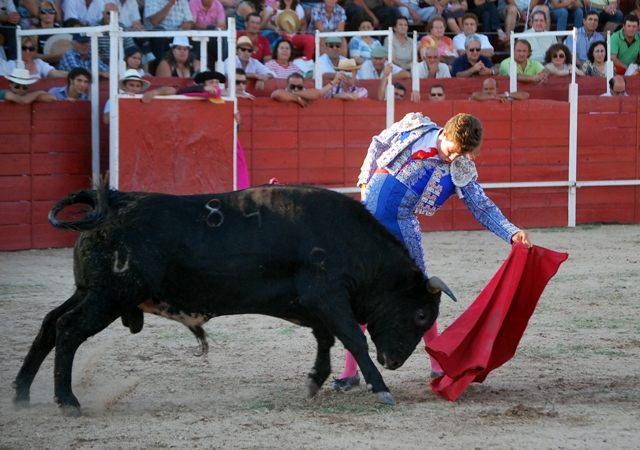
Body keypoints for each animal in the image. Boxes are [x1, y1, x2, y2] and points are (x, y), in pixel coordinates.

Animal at [12, 181, 452, 414]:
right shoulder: (328, 297)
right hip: (108, 297)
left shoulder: (315, 305)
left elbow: (326, 340)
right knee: (68, 329)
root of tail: (115, 200)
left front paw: (314, 381)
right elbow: (354, 339)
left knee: (49, 324)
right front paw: (381, 388)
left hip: (89, 291)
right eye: (421, 315)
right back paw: (67, 399)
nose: (393, 361)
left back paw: (21, 393)